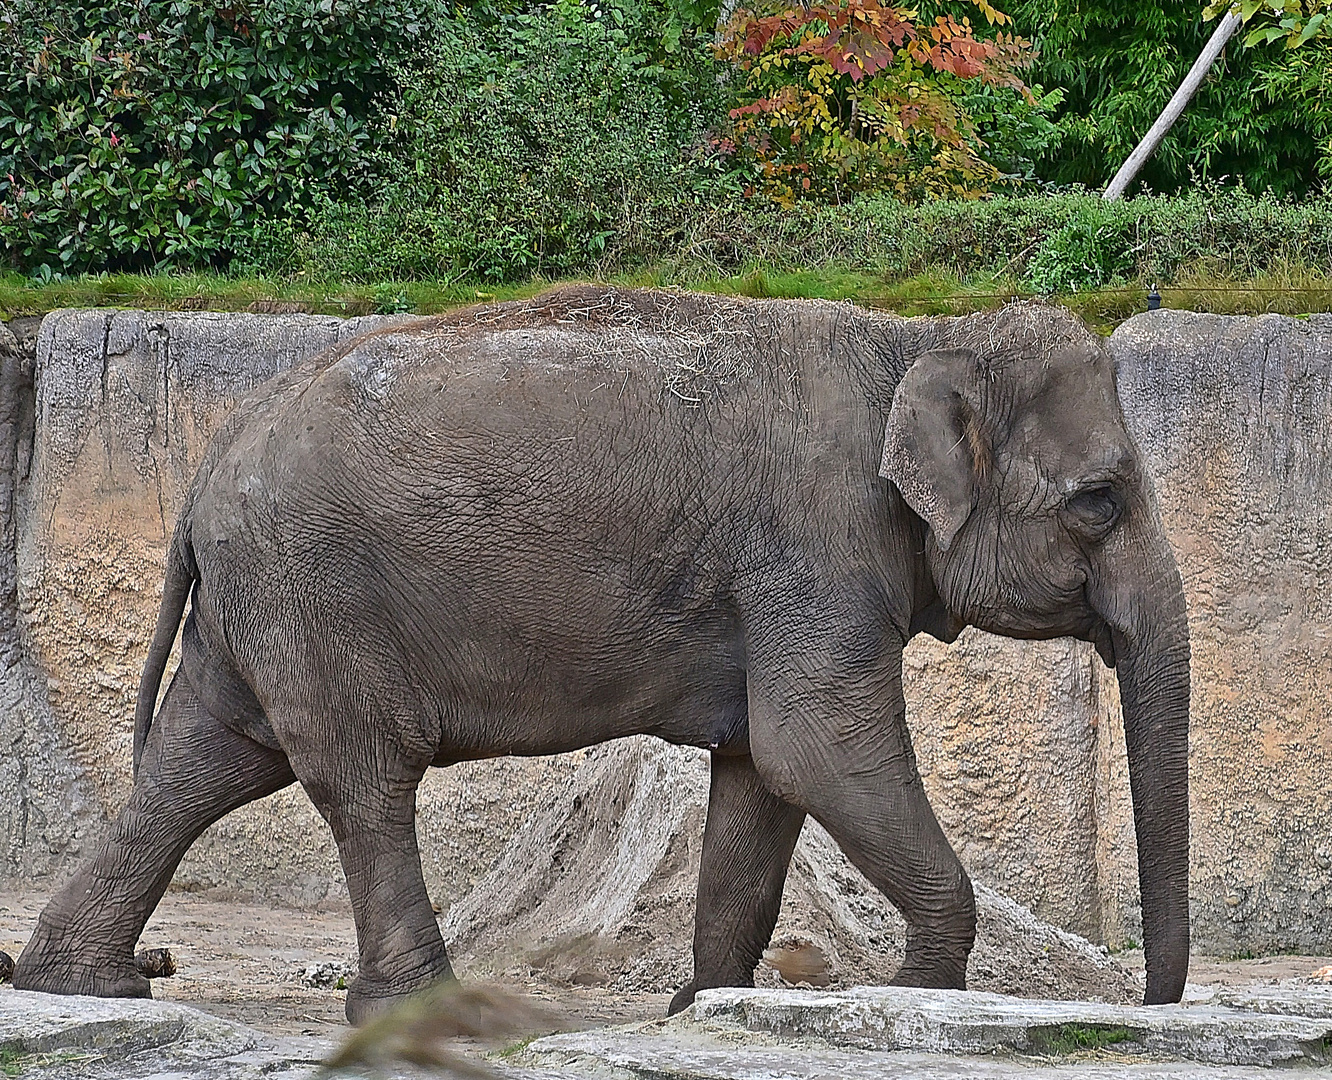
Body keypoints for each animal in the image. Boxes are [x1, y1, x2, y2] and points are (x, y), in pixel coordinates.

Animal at [10, 287, 1193, 1022]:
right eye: (1100, 501)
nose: (1151, 1001)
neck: (919, 340)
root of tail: (206, 474)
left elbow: (763, 773)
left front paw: (707, 1005)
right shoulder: (816, 543)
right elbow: (817, 747)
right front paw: (918, 995)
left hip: (262, 607)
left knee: (200, 763)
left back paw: (85, 985)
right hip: (315, 595)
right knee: (360, 780)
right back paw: (420, 1007)